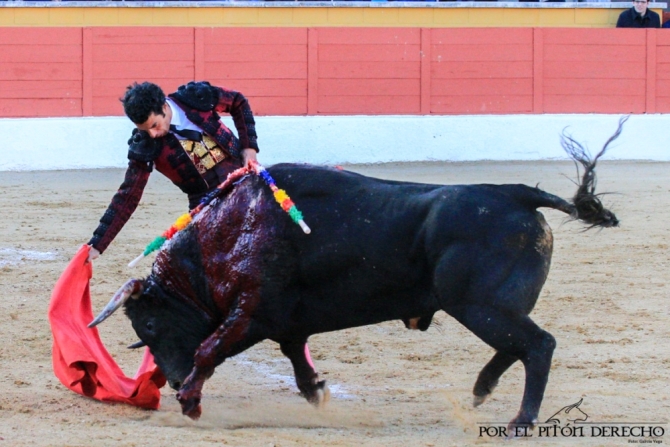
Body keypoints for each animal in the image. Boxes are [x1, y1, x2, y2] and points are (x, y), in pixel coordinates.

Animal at [92, 129, 624, 430]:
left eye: (151, 326)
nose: (173, 380)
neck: (217, 241)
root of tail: (517, 195)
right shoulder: (282, 322)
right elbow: (295, 360)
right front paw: (317, 392)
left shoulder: (250, 313)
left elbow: (209, 348)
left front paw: (191, 402)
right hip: (493, 308)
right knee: (517, 346)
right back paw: (480, 391)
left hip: (481, 306)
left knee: (538, 345)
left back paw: (520, 420)